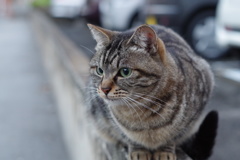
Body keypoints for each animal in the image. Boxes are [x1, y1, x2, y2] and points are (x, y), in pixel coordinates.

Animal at [86, 23, 214, 160]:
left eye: (125, 72)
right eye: (99, 71)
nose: (104, 89)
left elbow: (174, 135)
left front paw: (165, 151)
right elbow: (128, 136)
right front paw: (139, 150)